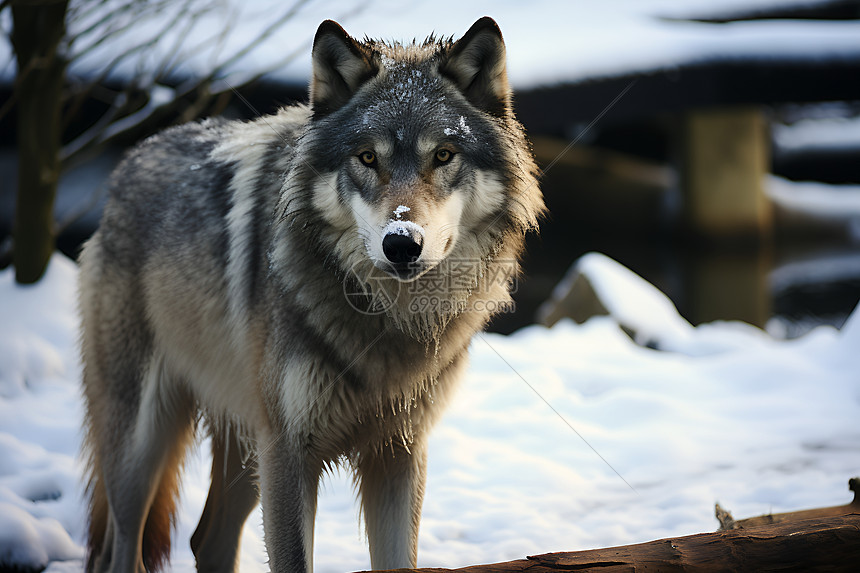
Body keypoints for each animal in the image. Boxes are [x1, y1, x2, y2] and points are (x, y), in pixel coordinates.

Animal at [75, 15, 544, 568]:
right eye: (368, 157)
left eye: (444, 155)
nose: (401, 243)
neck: (386, 320)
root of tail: (128, 163)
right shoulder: (288, 450)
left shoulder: (398, 451)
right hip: (142, 449)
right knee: (121, 548)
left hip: (245, 450)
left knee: (206, 540)